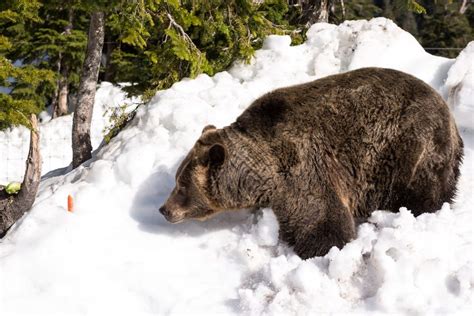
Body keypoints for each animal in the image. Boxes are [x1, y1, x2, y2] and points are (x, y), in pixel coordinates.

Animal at [159, 66, 462, 260]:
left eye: (182, 186)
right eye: (177, 179)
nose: (164, 209)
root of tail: (450, 115)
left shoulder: (302, 166)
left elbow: (323, 221)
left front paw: (318, 249)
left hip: (410, 147)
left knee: (421, 190)